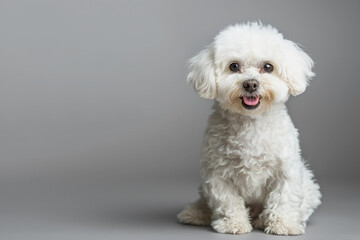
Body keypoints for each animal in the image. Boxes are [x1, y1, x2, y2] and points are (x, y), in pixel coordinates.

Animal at [177, 23, 320, 236]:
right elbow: (228, 201)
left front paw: (283, 225)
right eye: (234, 66)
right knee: (205, 201)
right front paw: (233, 224)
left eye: (268, 67)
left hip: (310, 187)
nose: (251, 84)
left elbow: (283, 199)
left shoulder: (286, 172)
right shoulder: (217, 174)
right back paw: (196, 213)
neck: (250, 123)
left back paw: (262, 220)